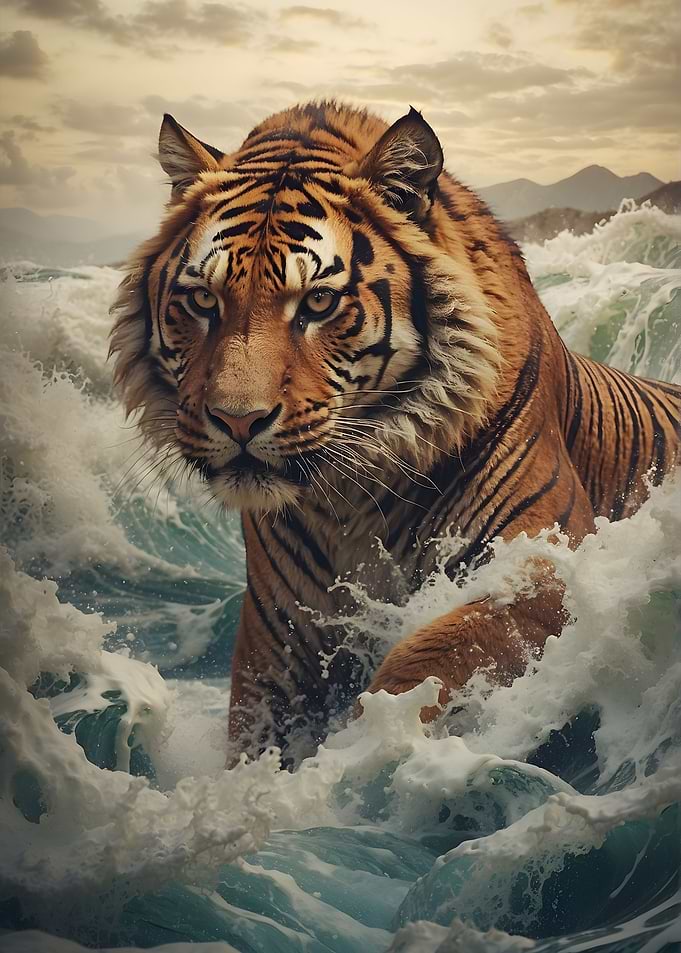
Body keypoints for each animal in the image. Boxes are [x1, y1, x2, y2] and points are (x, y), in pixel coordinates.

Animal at [110, 101, 681, 758]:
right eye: (204, 300)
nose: (237, 419)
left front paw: (364, 753)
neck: (349, 503)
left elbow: (427, 658)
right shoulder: (279, 633)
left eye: (318, 303)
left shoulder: (548, 568)